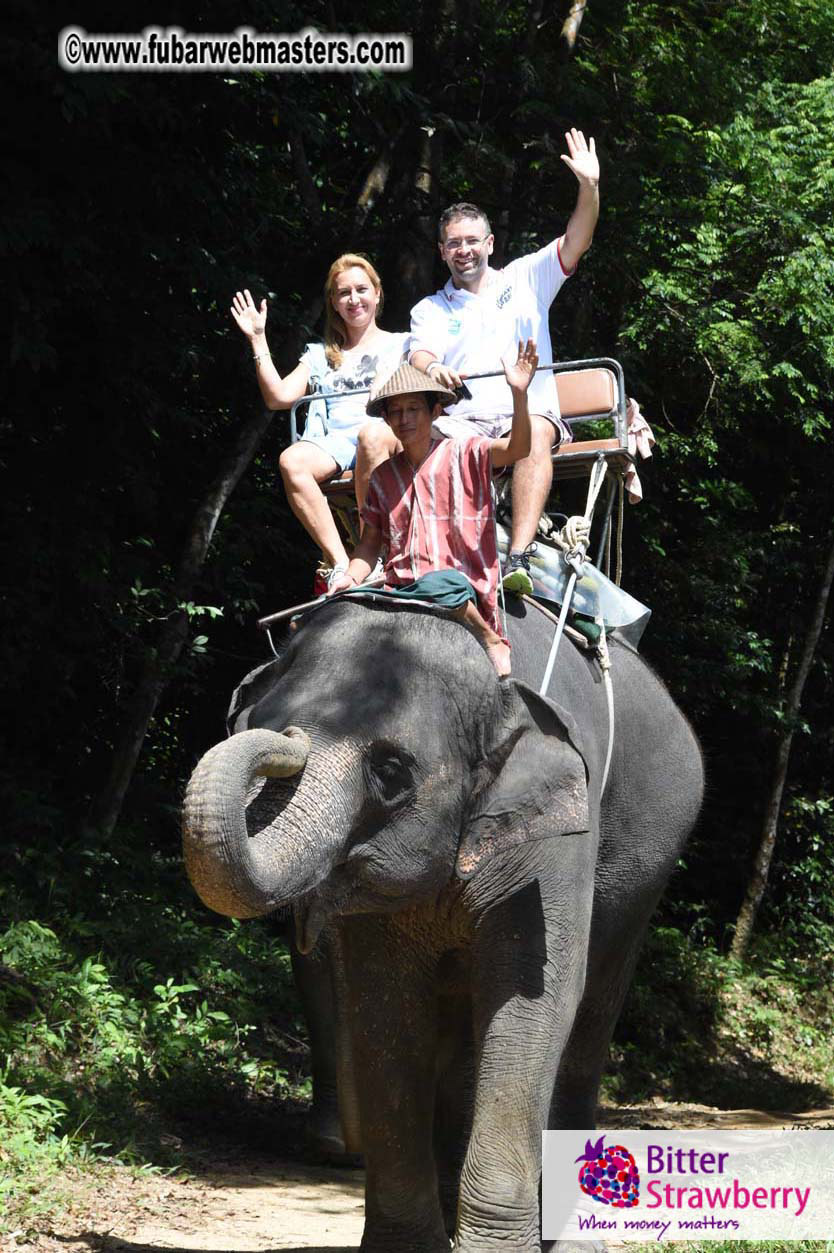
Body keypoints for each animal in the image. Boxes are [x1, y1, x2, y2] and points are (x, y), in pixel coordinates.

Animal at [183, 592, 703, 1252]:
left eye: (391, 772)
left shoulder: (557, 838)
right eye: (254, 721)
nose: (283, 737)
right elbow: (385, 1006)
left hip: (647, 874)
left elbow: (535, 998)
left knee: (590, 1020)